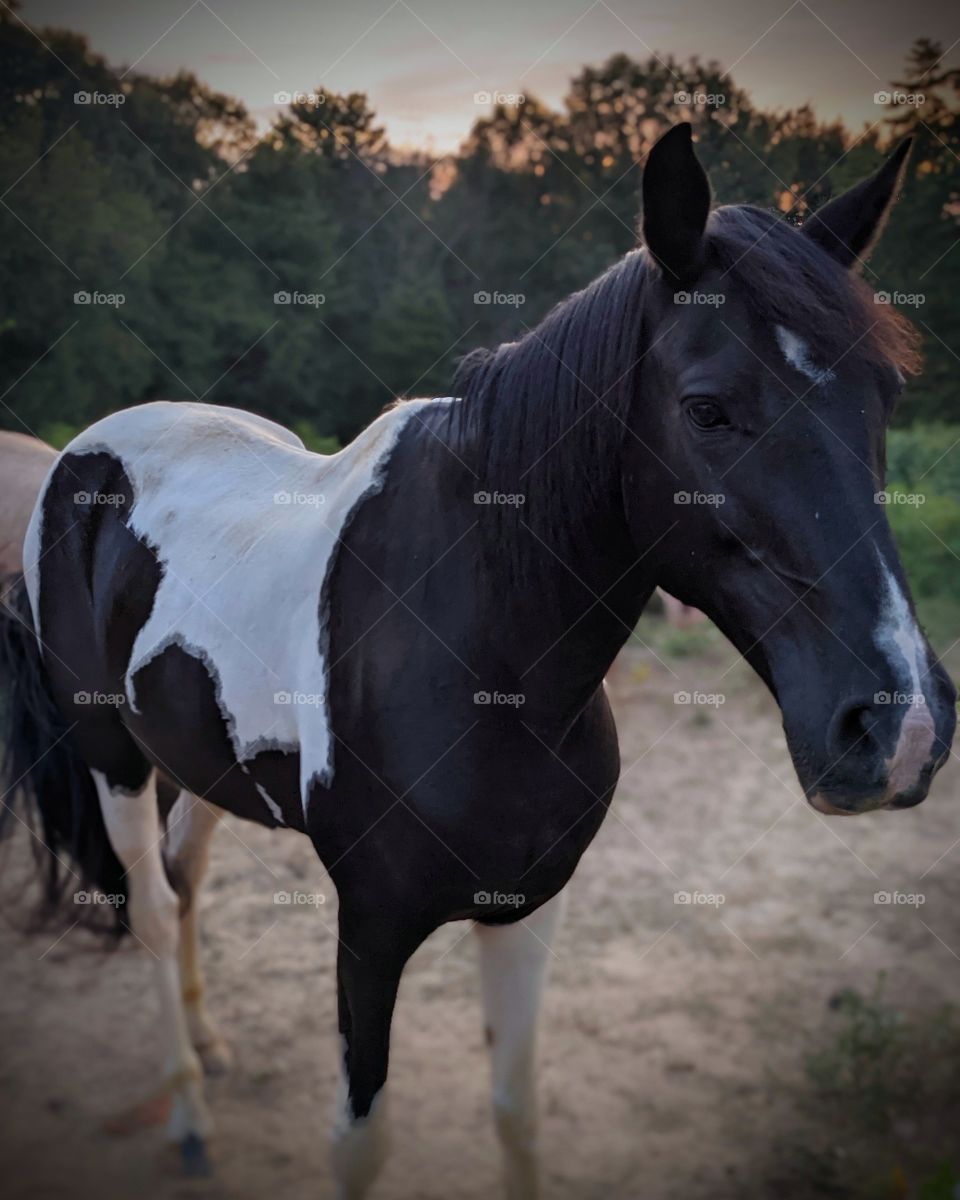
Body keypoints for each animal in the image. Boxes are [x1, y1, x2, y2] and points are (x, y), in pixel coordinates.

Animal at [0, 122, 954, 1198]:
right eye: (708, 409)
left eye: (886, 394)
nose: (901, 727)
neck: (487, 662)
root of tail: (80, 457)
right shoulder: (370, 931)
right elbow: (361, 1143)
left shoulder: (529, 907)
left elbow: (516, 1113)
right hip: (112, 759)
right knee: (154, 911)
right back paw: (190, 1116)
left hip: (195, 764)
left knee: (185, 880)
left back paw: (208, 1051)